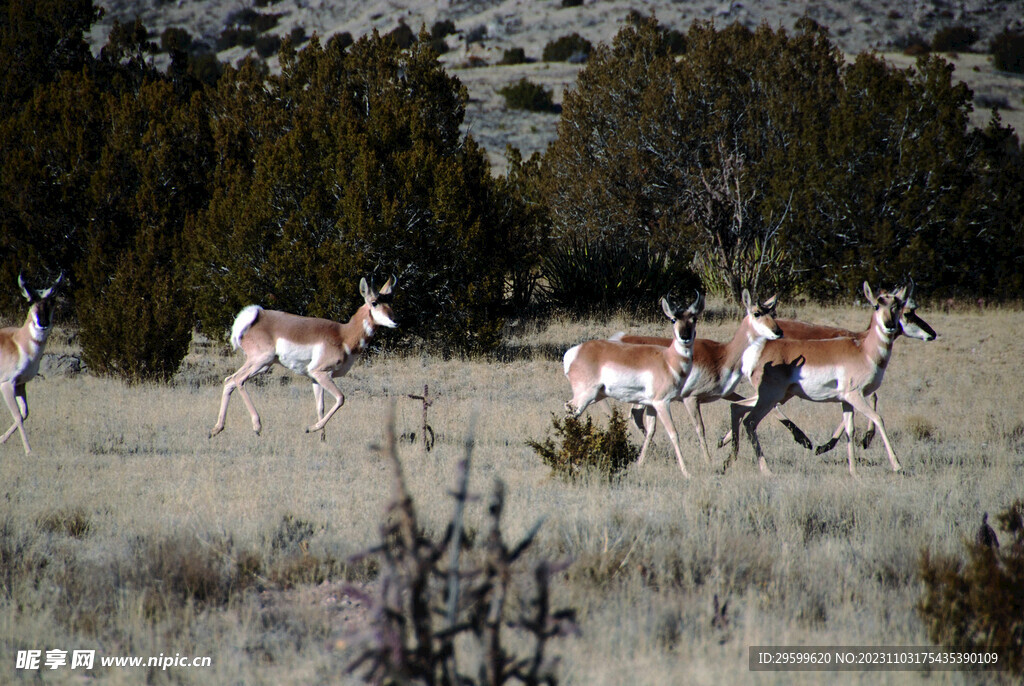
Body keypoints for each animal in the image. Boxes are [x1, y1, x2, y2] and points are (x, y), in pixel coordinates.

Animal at [0, 274, 61, 456]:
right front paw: (28, 450)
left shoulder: (21, 384)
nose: (43, 323)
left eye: (52, 301)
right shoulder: (6, 384)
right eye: (30, 301)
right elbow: (18, 416)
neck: (19, 342)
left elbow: (25, 413)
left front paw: (1, 439)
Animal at [208, 276, 395, 438]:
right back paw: (257, 426)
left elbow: (320, 407)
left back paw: (216, 429)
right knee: (239, 380)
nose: (395, 321)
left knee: (229, 380)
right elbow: (341, 398)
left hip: (262, 365)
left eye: (390, 302)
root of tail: (257, 316)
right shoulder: (321, 373)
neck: (343, 335)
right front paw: (311, 428)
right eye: (374, 303)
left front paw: (322, 439)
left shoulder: (315, 378)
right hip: (261, 361)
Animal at [561, 294, 704, 479]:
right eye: (673, 319)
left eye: (694, 319)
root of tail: (574, 352)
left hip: (596, 396)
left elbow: (650, 431)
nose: (685, 337)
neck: (667, 359)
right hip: (586, 396)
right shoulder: (662, 403)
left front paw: (639, 464)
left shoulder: (651, 405)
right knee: (570, 414)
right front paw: (686, 473)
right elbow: (673, 433)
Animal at [610, 290, 786, 466]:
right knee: (636, 416)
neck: (723, 354)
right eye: (757, 313)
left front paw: (723, 441)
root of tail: (620, 339)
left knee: (637, 417)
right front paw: (709, 460)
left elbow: (750, 404)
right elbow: (700, 428)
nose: (778, 332)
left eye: (772, 312)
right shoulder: (691, 398)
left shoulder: (725, 394)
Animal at [724, 280, 933, 479]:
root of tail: (761, 347)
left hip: (775, 396)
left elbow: (850, 430)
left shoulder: (846, 401)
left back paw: (729, 457)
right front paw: (897, 466)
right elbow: (878, 418)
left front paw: (854, 472)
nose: (889, 325)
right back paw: (767, 468)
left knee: (737, 407)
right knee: (750, 421)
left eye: (897, 306)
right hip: (770, 398)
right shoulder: (856, 396)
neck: (864, 350)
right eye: (876, 305)